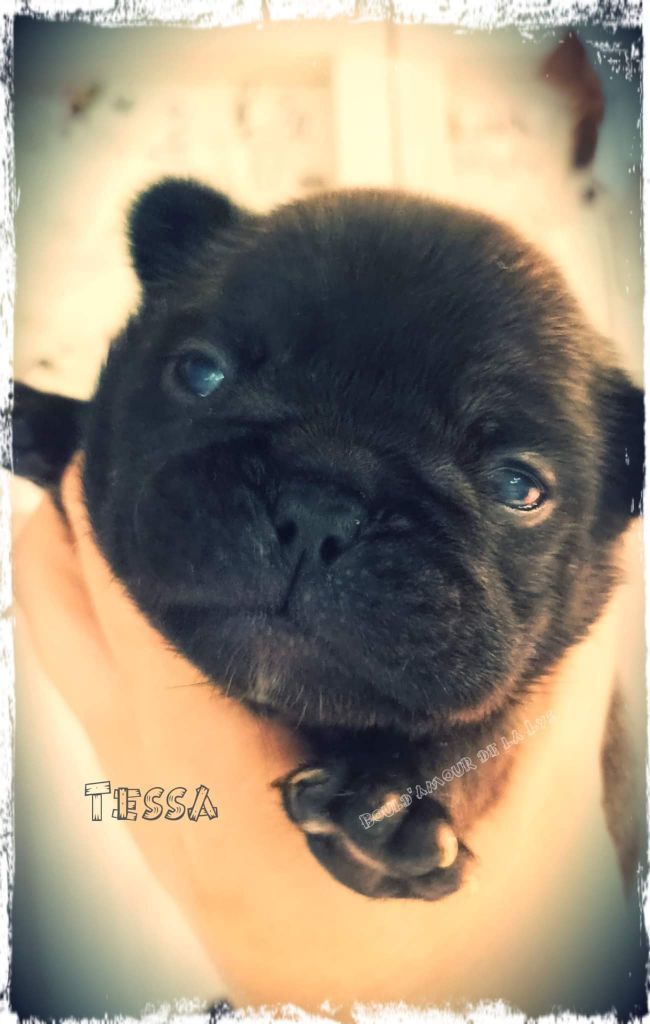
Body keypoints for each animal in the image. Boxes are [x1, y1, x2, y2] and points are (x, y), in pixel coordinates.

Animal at [8, 178, 644, 902]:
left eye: (517, 486)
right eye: (201, 373)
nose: (318, 511)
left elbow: (493, 723)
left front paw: (388, 798)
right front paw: (33, 418)